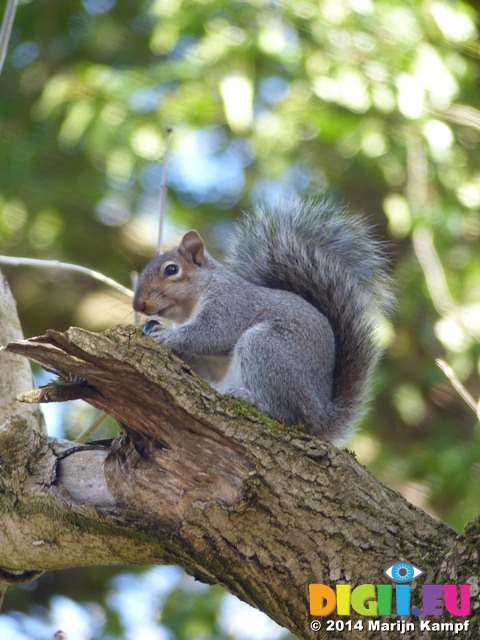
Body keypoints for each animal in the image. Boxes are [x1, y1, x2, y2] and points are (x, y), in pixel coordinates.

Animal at [132, 198, 394, 442]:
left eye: (171, 270)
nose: (138, 305)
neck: (189, 307)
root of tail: (322, 415)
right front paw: (153, 328)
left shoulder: (231, 304)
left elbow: (212, 334)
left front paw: (166, 334)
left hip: (265, 350)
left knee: (287, 415)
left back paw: (252, 400)